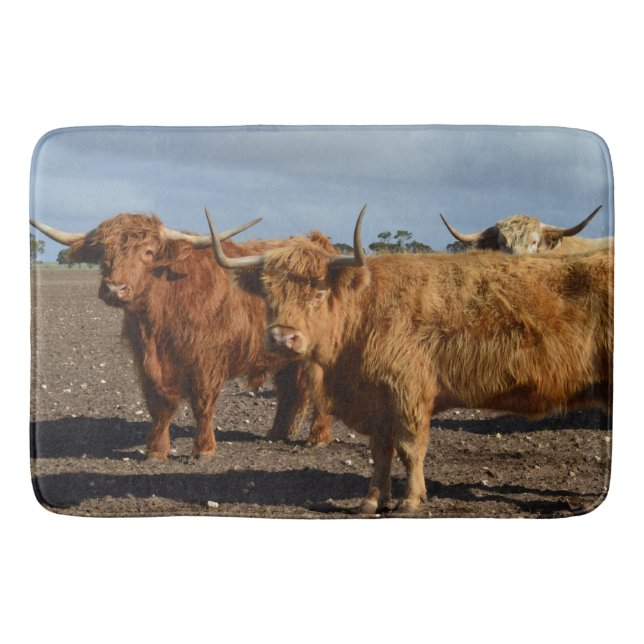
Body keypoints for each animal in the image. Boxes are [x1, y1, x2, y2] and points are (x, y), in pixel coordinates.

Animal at [30, 213, 334, 460]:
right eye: (105, 252)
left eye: (148, 252)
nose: (115, 289)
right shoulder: (146, 363)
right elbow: (159, 406)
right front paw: (155, 451)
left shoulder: (207, 362)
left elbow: (202, 405)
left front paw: (204, 450)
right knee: (290, 390)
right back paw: (277, 433)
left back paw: (318, 438)